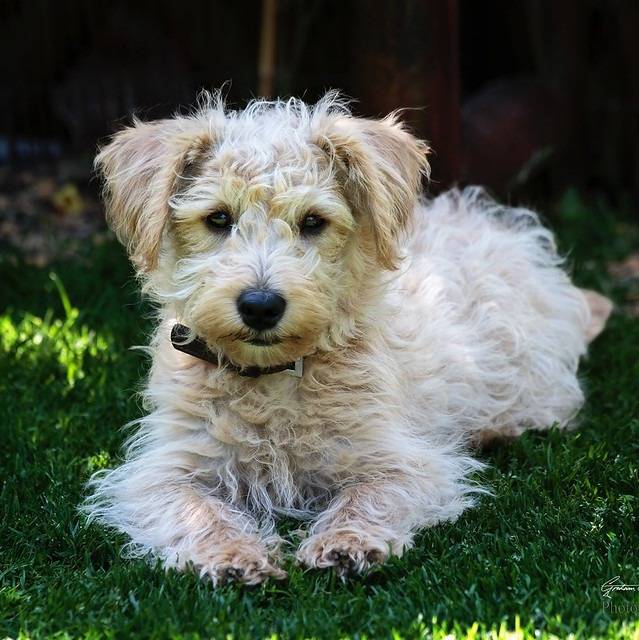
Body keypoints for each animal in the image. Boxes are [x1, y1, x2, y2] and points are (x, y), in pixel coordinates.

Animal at [82, 91, 612, 584]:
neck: (273, 381)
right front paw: (231, 555)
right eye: (218, 218)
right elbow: (197, 511)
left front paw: (345, 542)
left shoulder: (402, 460)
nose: (260, 306)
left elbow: (370, 495)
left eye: (313, 221)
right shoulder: (167, 469)